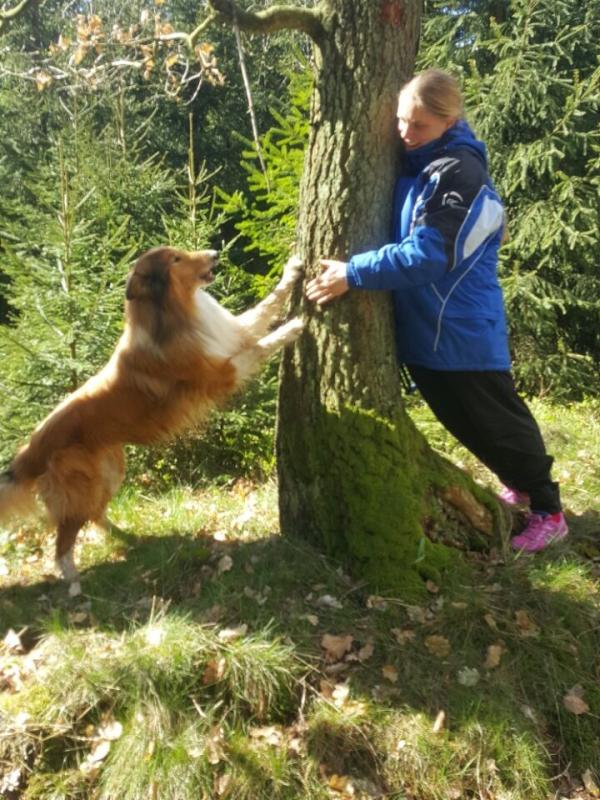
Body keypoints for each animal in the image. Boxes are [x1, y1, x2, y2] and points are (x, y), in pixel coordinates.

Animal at [0, 247, 300, 592]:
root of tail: (30, 449)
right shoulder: (221, 374)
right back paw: (73, 581)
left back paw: (128, 537)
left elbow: (265, 306)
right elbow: (262, 345)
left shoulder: (233, 333)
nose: (214, 253)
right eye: (176, 260)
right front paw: (297, 324)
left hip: (110, 471)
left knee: (93, 515)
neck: (175, 315)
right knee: (63, 537)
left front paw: (294, 270)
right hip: (82, 484)